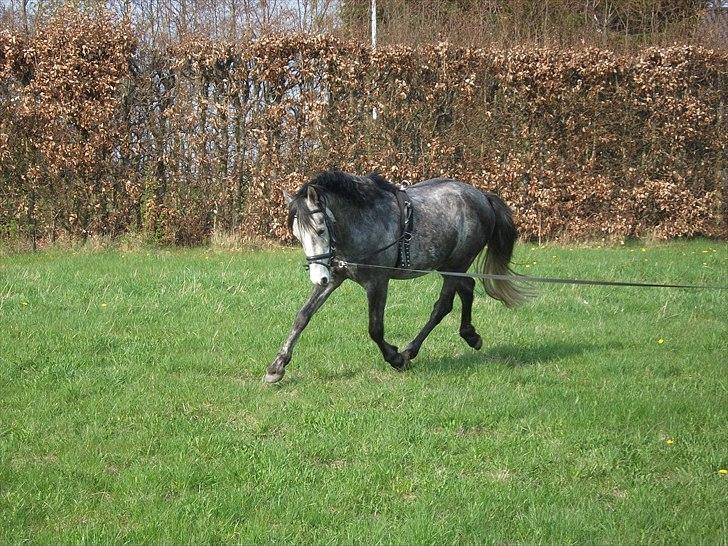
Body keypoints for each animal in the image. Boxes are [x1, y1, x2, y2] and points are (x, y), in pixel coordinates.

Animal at [264, 170, 528, 382]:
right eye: (298, 235)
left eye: (320, 230)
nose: (318, 277)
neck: (360, 224)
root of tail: (482, 196)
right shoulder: (335, 276)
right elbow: (303, 316)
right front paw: (277, 366)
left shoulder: (377, 283)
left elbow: (375, 329)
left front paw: (395, 358)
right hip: (449, 266)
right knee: (467, 288)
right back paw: (470, 335)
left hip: (456, 264)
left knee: (443, 306)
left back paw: (411, 351)